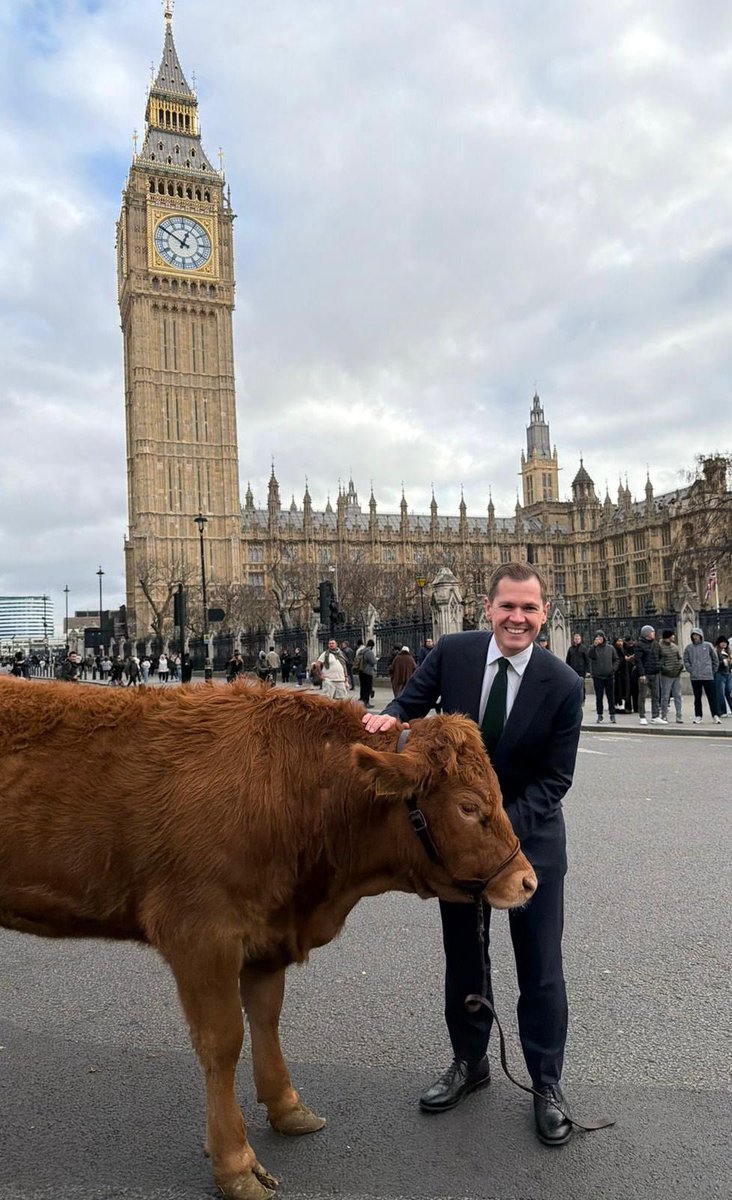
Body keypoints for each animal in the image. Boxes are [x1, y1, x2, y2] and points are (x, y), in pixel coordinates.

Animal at [0, 677, 536, 1199]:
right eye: (468, 806)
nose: (528, 882)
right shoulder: (201, 934)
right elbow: (221, 1043)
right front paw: (235, 1163)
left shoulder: (267, 933)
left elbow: (266, 1017)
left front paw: (286, 1106)